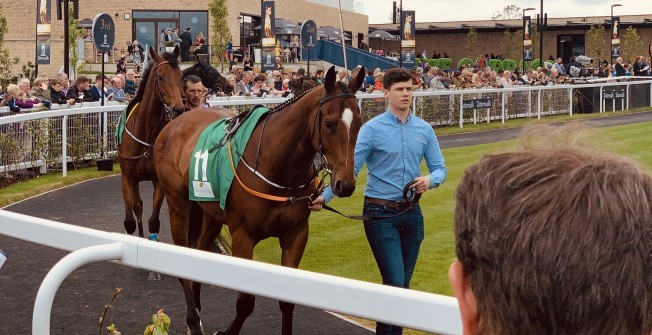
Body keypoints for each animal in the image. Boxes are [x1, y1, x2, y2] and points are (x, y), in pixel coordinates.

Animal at [153, 66, 366, 335]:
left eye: (359, 123)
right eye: (329, 123)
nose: (345, 184)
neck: (275, 165)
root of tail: (173, 124)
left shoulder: (296, 233)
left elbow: (287, 301)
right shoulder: (243, 235)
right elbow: (245, 302)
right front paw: (226, 332)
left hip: (212, 213)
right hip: (178, 204)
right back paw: (193, 320)